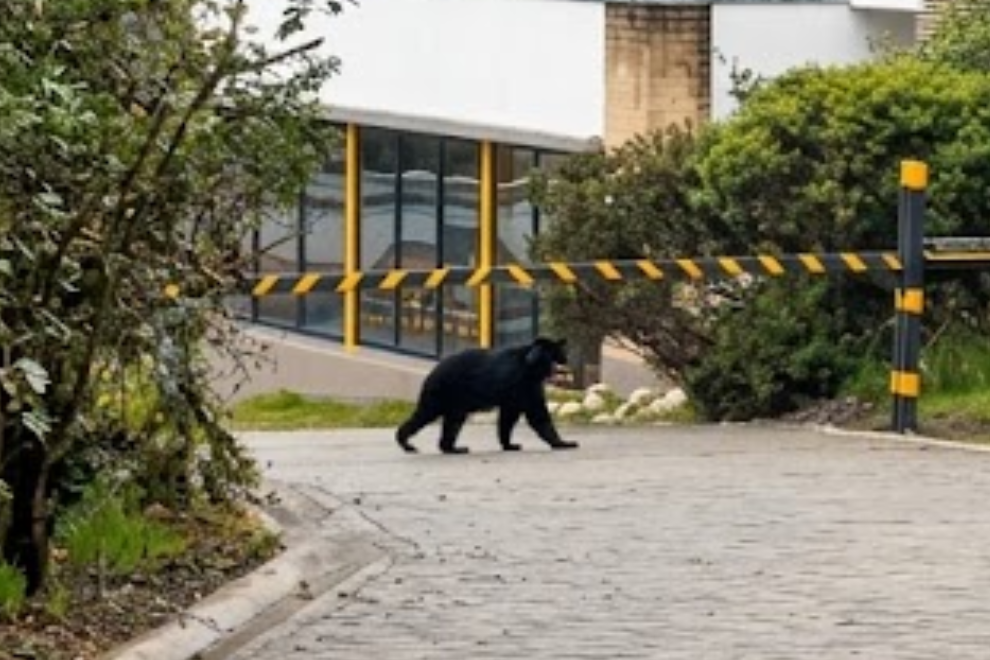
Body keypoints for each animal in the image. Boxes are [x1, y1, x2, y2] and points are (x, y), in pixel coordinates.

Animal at [395, 337, 579, 454]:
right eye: (558, 358)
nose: (567, 366)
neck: (530, 366)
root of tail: (431, 374)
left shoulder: (517, 391)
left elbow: (508, 417)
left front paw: (510, 444)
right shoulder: (521, 384)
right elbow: (537, 414)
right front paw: (565, 443)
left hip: (453, 402)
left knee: (451, 423)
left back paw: (452, 448)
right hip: (444, 394)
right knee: (426, 415)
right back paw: (407, 443)